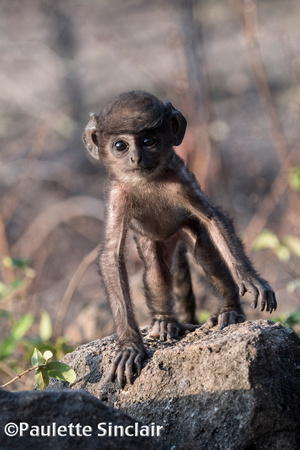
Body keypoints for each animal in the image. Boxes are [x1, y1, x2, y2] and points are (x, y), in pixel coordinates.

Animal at [82, 90, 276, 386]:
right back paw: (164, 320)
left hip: (185, 228)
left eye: (148, 141)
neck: (148, 181)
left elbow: (213, 219)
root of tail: (172, 239)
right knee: (157, 271)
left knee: (206, 254)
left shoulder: (181, 182)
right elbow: (112, 255)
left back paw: (230, 309)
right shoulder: (118, 196)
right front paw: (130, 346)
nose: (136, 158)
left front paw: (250, 278)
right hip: (152, 239)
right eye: (120, 145)